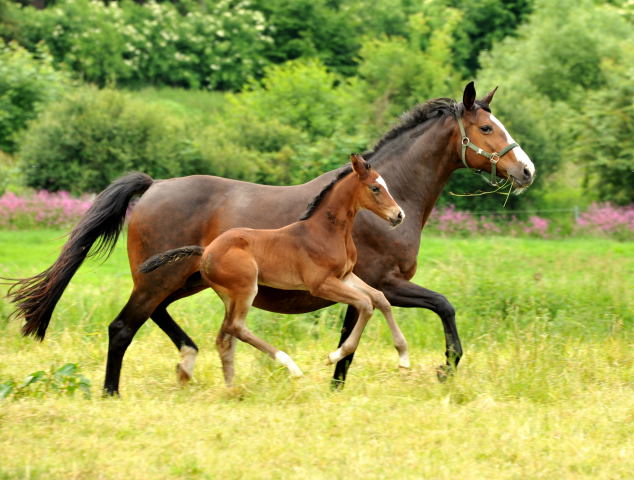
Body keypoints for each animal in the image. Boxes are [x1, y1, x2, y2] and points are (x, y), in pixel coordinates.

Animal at [136, 155, 408, 386]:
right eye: (375, 188)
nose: (398, 215)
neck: (326, 231)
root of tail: (205, 251)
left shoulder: (346, 276)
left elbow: (380, 299)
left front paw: (404, 358)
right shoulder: (320, 284)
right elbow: (365, 304)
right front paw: (334, 356)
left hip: (229, 295)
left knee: (225, 335)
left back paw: (232, 388)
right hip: (246, 288)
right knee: (237, 328)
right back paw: (291, 366)